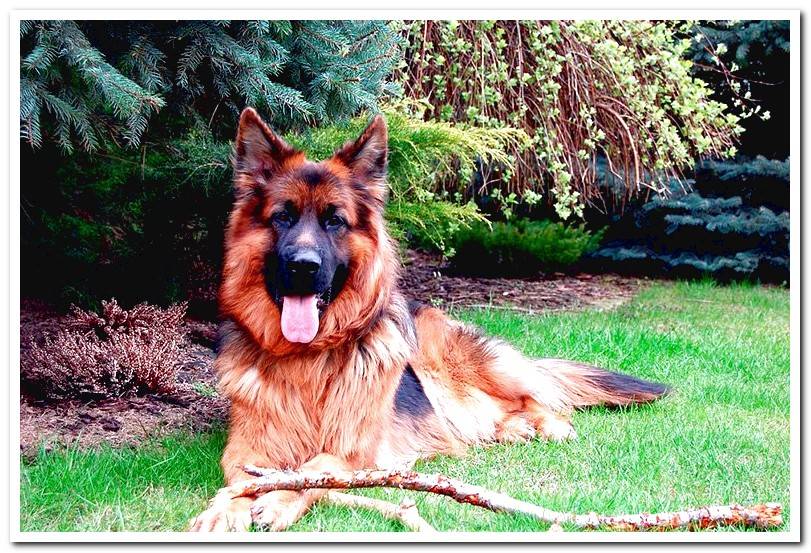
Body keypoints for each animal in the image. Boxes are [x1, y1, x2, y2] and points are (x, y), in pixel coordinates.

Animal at [189, 109, 668, 532]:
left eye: (334, 221)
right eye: (283, 217)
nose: (304, 266)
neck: (307, 359)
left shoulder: (356, 451)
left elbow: (317, 467)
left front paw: (279, 498)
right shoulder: (246, 447)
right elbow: (242, 479)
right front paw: (223, 510)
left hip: (466, 363)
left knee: (539, 398)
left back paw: (545, 425)